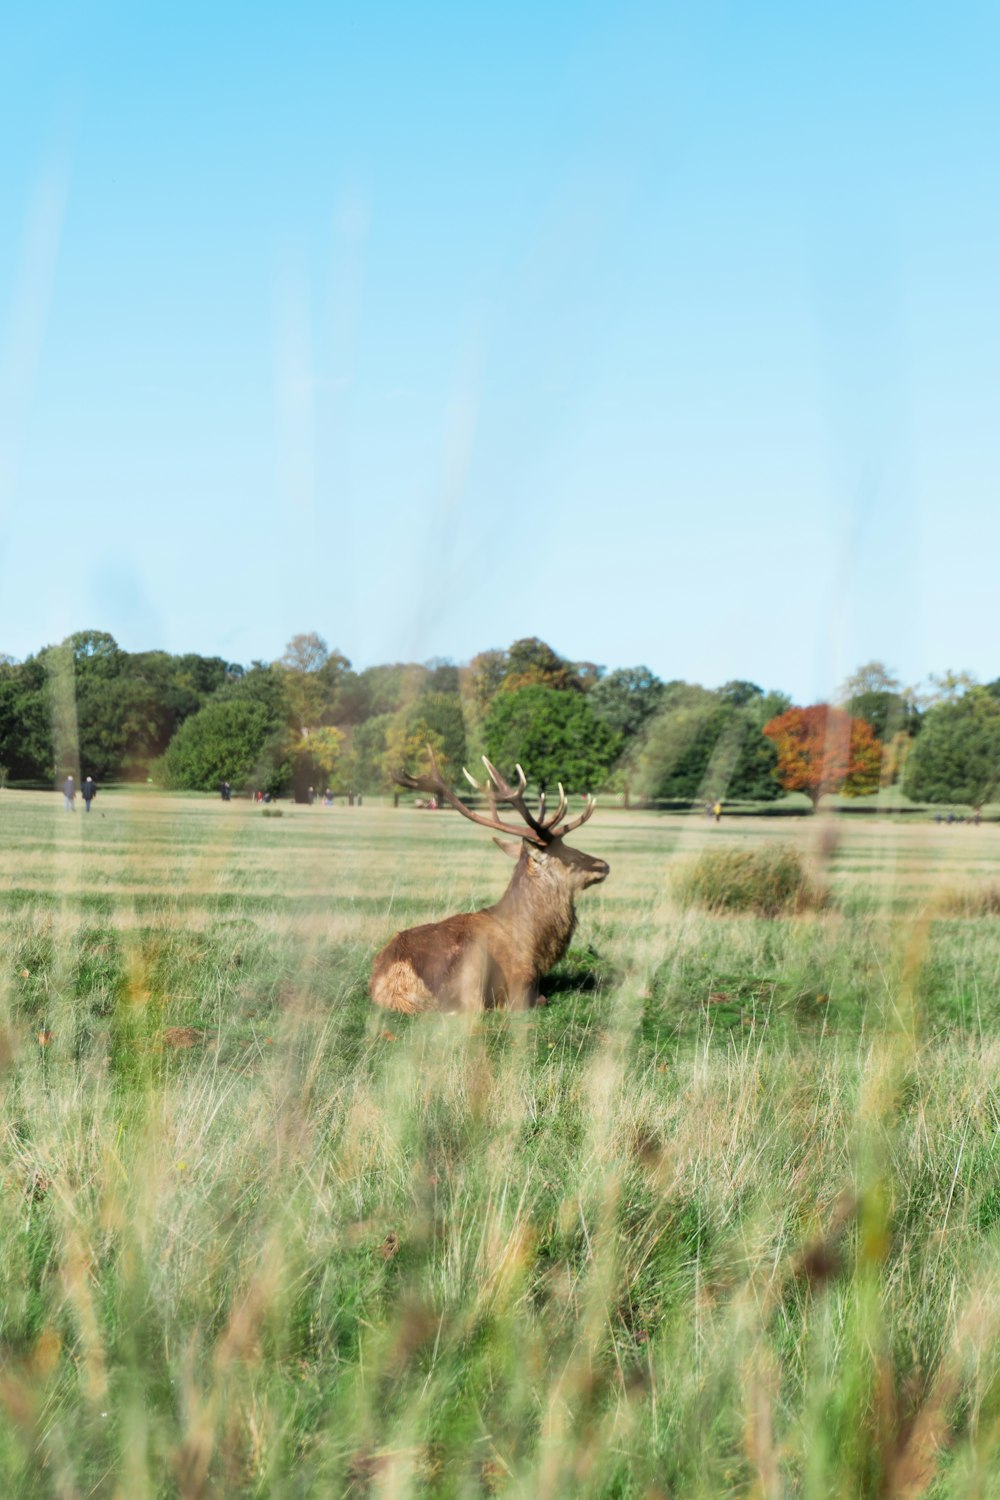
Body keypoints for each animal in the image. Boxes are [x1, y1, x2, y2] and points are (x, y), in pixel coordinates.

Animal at [371, 756, 611, 1014]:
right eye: (570, 857)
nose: (604, 865)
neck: (535, 945)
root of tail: (397, 978)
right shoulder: (520, 980)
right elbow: (538, 999)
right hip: (473, 963)